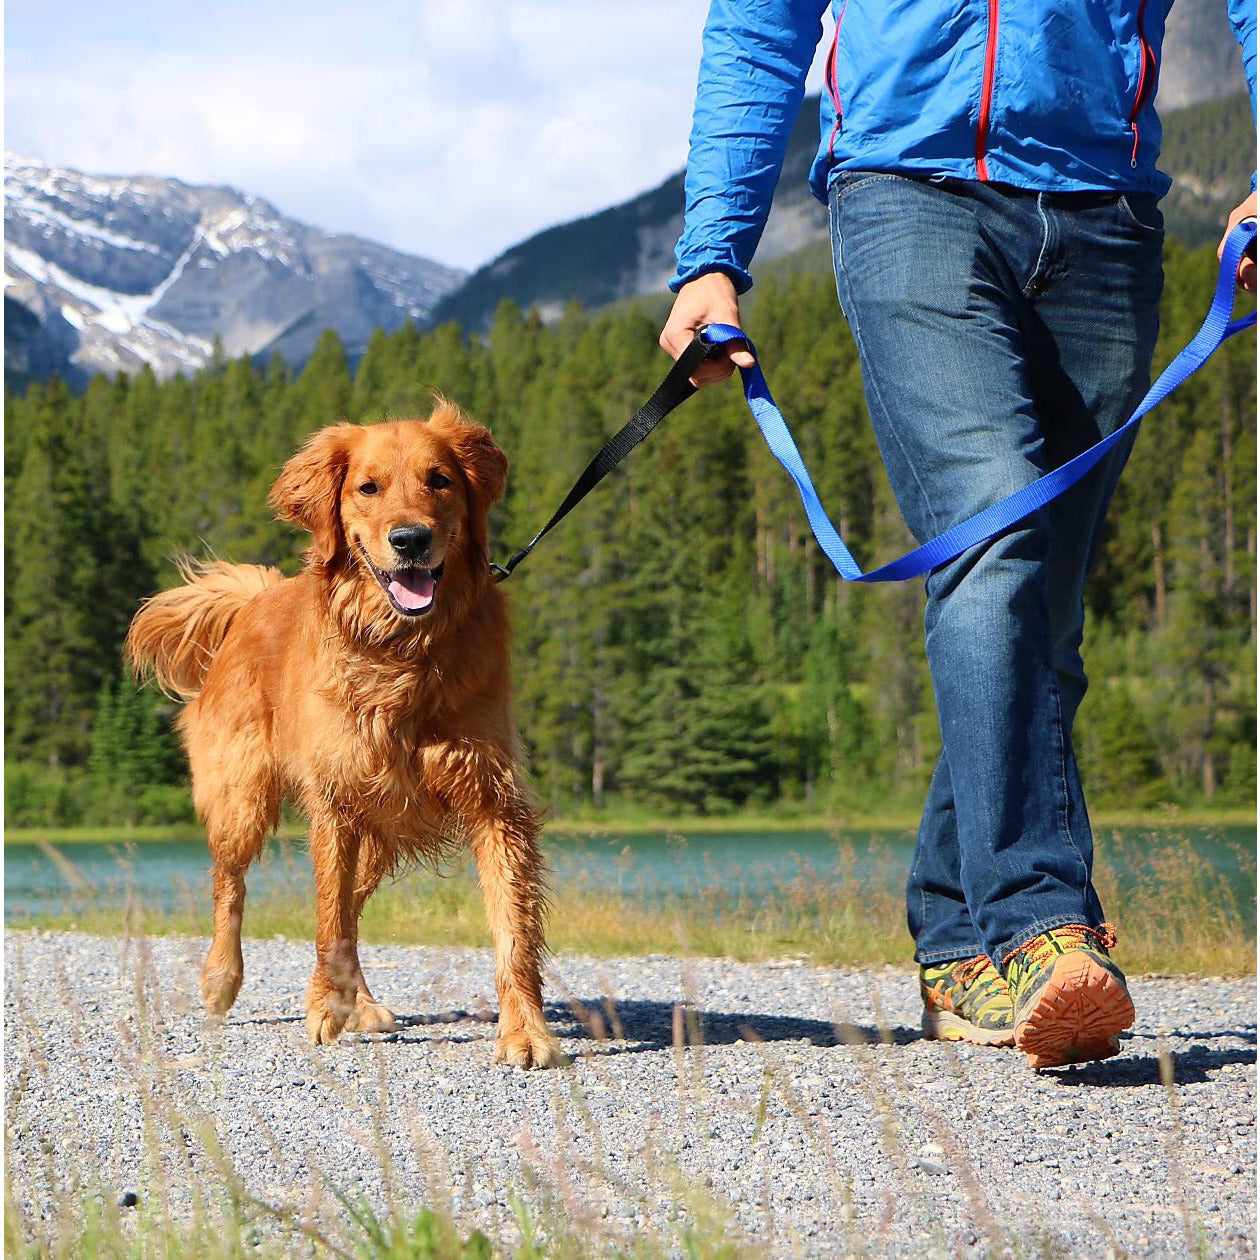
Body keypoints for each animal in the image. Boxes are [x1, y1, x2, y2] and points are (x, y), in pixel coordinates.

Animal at [126, 408, 561, 1068]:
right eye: (368, 487)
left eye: (440, 481)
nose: (410, 540)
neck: (403, 652)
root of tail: (253, 599)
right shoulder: (337, 799)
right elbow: (328, 916)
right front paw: (325, 1009)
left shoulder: (492, 797)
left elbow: (512, 925)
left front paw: (526, 1032)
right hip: (243, 798)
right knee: (233, 887)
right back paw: (222, 979)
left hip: (380, 828)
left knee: (351, 904)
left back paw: (360, 1002)